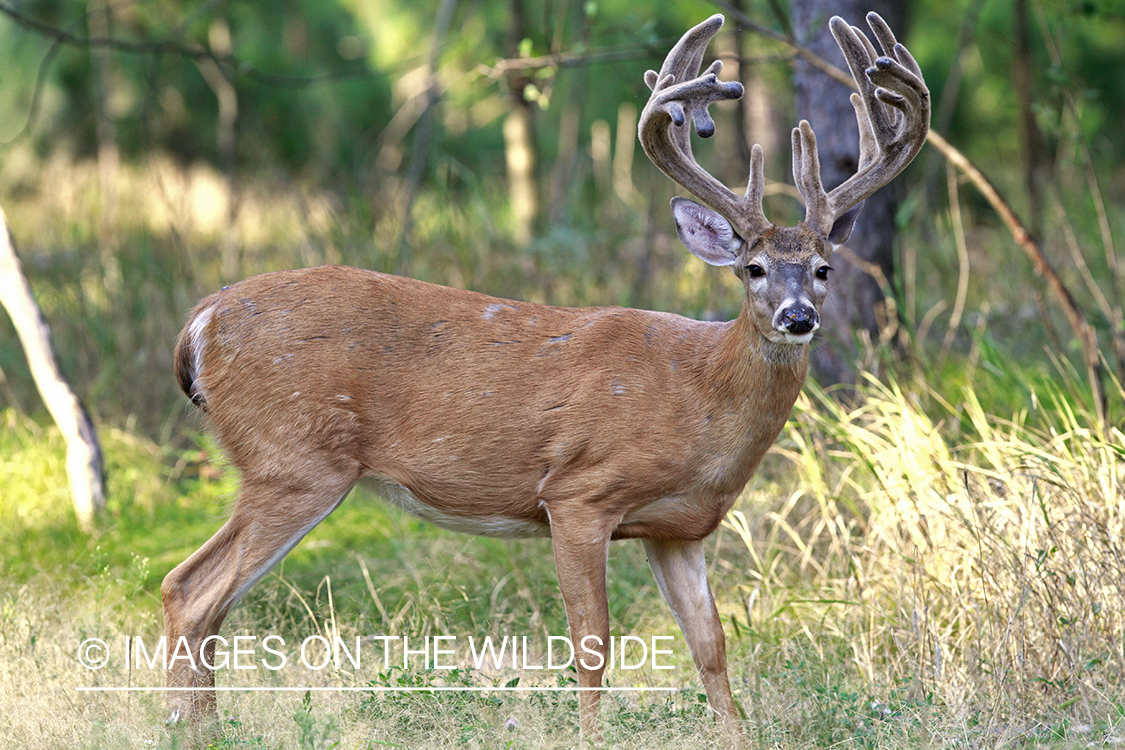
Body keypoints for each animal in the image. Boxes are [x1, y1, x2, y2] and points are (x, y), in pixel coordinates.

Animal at [160, 10, 931, 746]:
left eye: (823, 267)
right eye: (753, 268)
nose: (799, 316)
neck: (701, 396)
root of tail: (198, 322)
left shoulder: (681, 529)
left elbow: (711, 646)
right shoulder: (578, 492)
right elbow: (592, 644)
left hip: (285, 463)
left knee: (192, 592)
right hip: (295, 459)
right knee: (192, 590)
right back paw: (195, 732)